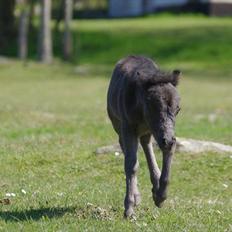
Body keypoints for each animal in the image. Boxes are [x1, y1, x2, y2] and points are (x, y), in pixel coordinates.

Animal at [107, 55, 181, 217]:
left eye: (178, 109)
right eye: (152, 106)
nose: (168, 140)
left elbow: (168, 149)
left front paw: (161, 196)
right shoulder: (127, 127)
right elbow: (131, 164)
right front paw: (129, 208)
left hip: (147, 131)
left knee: (147, 144)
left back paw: (156, 188)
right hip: (119, 126)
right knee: (130, 149)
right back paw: (138, 196)